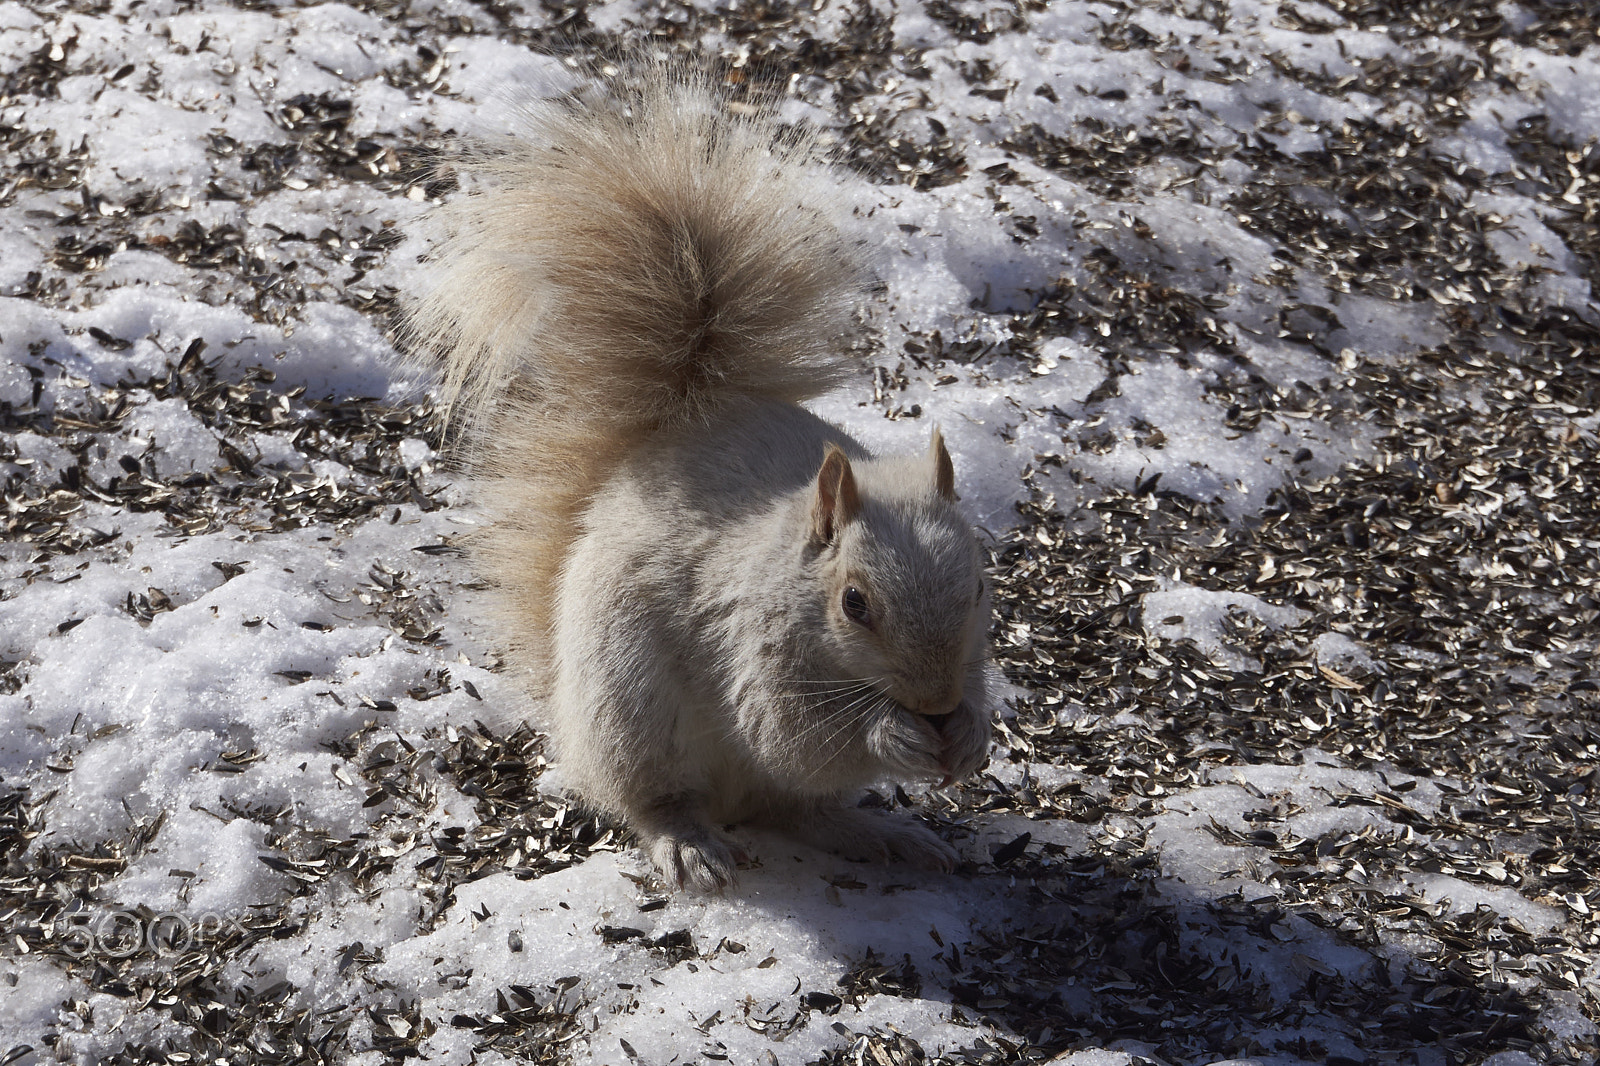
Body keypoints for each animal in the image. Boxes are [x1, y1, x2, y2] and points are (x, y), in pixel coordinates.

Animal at [406, 70, 992, 889]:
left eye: (980, 587)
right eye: (854, 605)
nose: (935, 703)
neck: (790, 576)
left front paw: (970, 733)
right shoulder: (748, 643)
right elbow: (789, 733)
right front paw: (892, 735)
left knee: (798, 810)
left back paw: (879, 832)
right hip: (633, 711)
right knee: (666, 799)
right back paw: (688, 842)